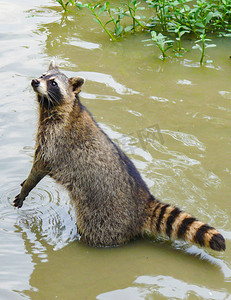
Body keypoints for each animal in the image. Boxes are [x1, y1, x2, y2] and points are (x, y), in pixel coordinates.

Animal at [13, 61, 226, 251]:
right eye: (43, 76)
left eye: (53, 83)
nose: (35, 81)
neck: (58, 107)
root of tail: (143, 203)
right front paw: (25, 183)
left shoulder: (54, 139)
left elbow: (40, 165)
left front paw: (27, 187)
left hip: (104, 220)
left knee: (95, 234)